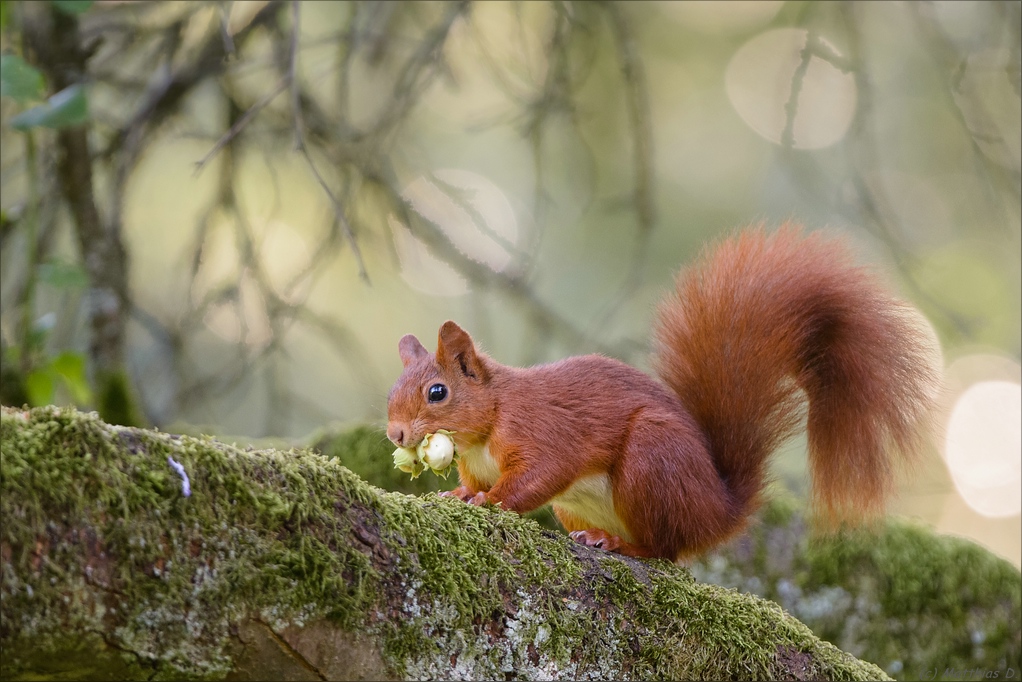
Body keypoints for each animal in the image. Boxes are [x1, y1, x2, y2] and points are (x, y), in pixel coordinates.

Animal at [386, 226, 940, 560]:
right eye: (393, 390)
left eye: (437, 392)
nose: (394, 434)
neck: (488, 423)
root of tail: (717, 510)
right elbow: (476, 483)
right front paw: (461, 494)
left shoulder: (542, 430)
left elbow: (541, 474)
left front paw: (491, 502)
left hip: (652, 461)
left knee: (664, 551)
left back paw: (621, 546)